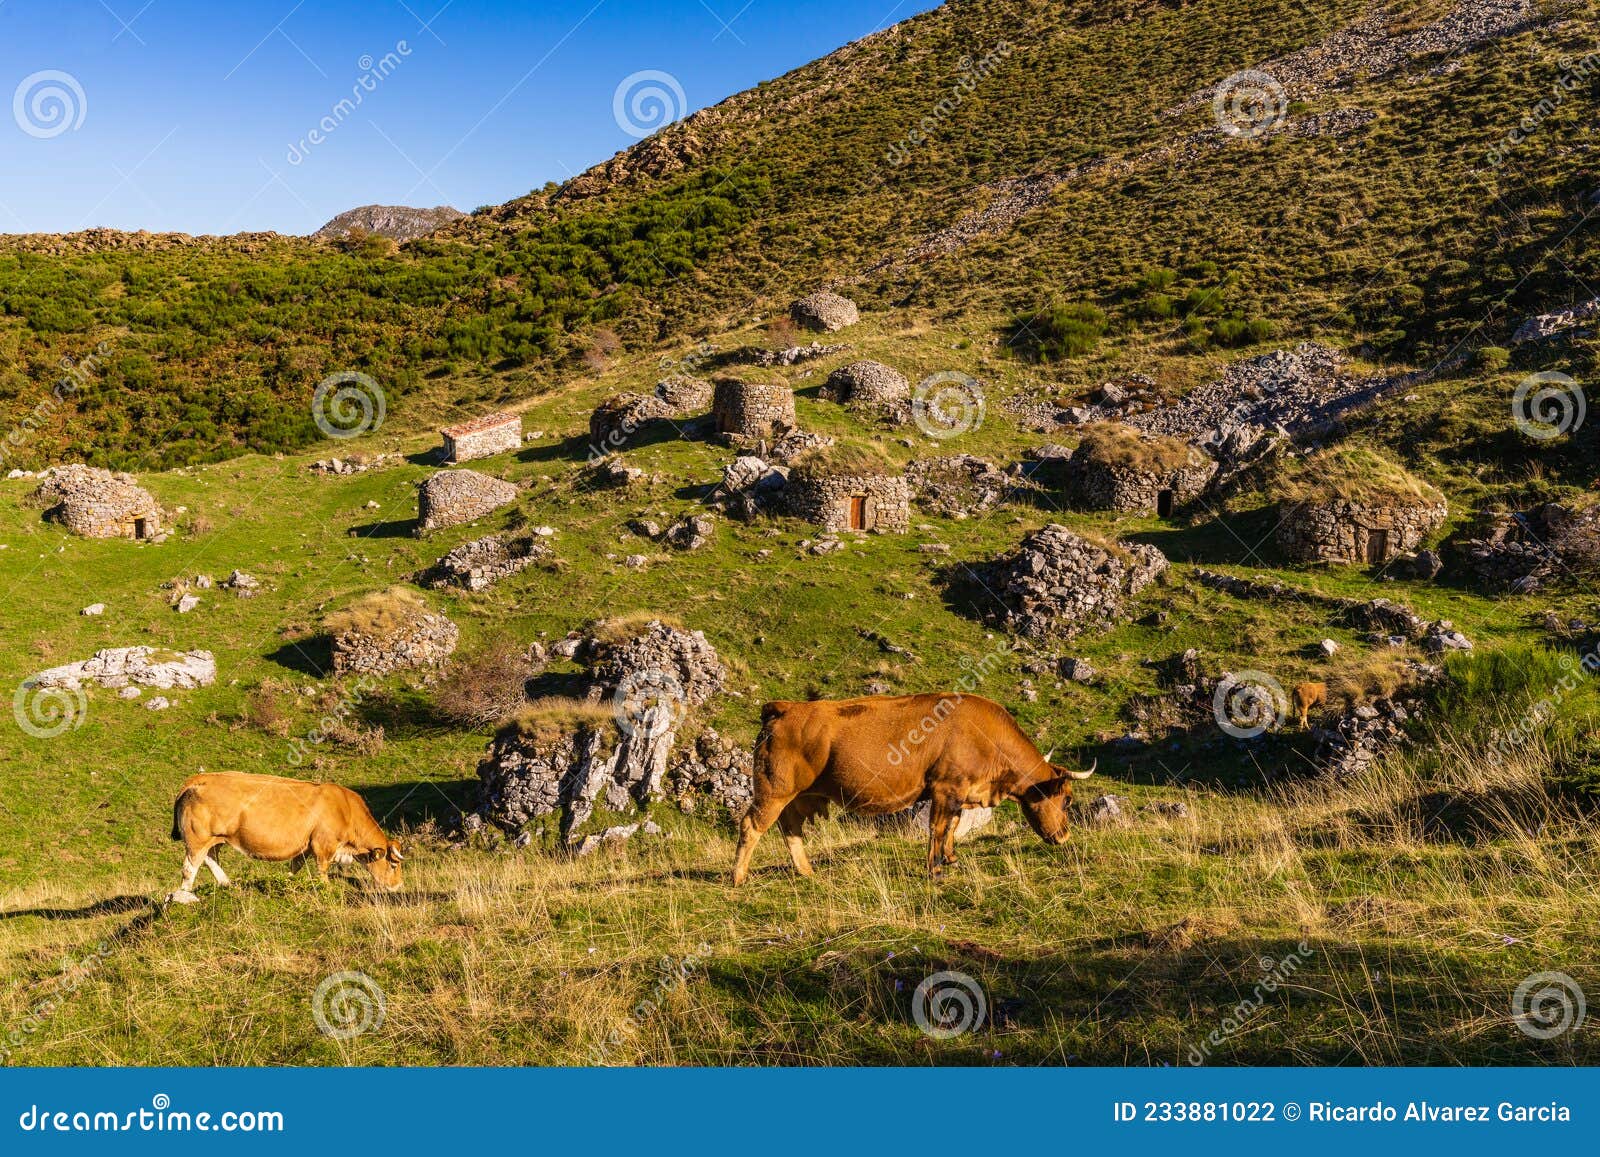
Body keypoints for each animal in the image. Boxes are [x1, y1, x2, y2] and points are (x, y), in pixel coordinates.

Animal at [166, 774, 403, 908]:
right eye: (393, 864)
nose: (399, 886)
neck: (345, 808)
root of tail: (200, 779)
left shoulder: (305, 847)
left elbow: (295, 867)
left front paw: (286, 884)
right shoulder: (323, 845)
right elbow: (322, 871)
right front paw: (327, 890)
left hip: (214, 839)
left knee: (211, 858)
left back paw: (228, 884)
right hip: (197, 839)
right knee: (190, 868)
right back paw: (186, 895)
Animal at [732, 697, 1088, 889]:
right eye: (1067, 799)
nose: (1065, 836)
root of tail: (784, 708)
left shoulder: (958, 793)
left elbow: (953, 826)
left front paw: (951, 858)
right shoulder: (945, 788)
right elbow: (939, 827)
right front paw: (935, 870)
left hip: (797, 796)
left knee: (791, 829)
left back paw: (806, 871)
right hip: (773, 791)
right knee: (751, 826)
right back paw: (738, 878)